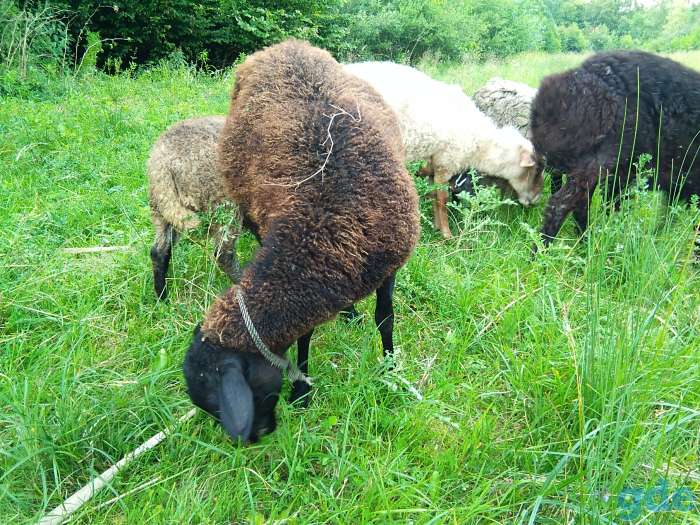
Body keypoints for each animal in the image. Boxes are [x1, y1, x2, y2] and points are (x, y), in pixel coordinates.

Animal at [148, 116, 241, 300]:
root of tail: (162, 164)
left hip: (163, 210)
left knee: (158, 251)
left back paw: (162, 298)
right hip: (224, 207)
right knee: (223, 255)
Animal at [183, 40, 420, 443]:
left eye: (217, 402)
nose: (253, 438)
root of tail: (284, 46)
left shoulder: (390, 264)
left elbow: (385, 319)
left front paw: (390, 367)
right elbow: (305, 335)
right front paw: (302, 390)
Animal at [344, 62, 542, 239]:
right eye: (535, 171)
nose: (537, 200)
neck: (481, 144)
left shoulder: (435, 161)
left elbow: (433, 194)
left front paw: (436, 227)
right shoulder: (446, 163)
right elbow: (442, 200)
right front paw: (446, 234)